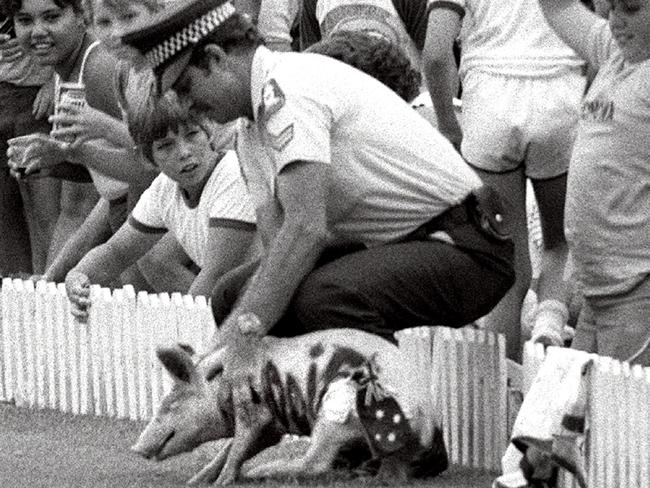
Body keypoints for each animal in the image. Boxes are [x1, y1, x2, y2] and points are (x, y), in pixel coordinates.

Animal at [131, 328, 446, 484]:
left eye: (170, 404)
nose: (135, 449)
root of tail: (427, 419)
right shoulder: (271, 426)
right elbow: (231, 450)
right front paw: (196, 481)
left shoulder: (253, 410)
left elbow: (238, 446)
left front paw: (224, 481)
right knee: (395, 475)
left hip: (339, 411)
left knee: (315, 462)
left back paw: (260, 473)